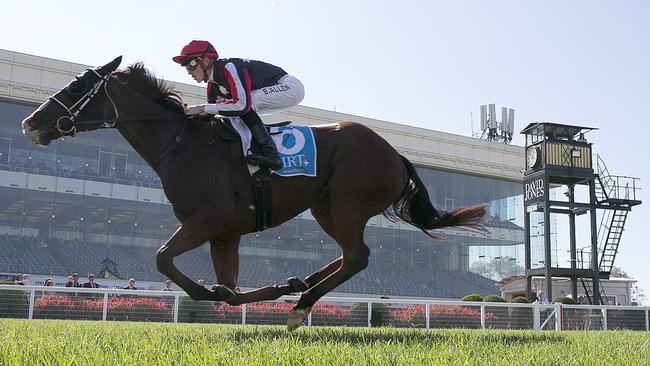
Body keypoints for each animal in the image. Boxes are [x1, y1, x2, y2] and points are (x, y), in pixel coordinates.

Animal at [21, 55, 486, 330]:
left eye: (76, 88)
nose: (29, 123)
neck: (182, 143)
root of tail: (395, 153)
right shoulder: (226, 231)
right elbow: (227, 284)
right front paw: (260, 288)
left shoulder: (209, 219)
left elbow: (165, 260)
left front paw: (214, 293)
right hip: (325, 206)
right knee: (345, 257)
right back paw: (300, 284)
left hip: (349, 201)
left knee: (357, 256)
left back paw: (300, 307)